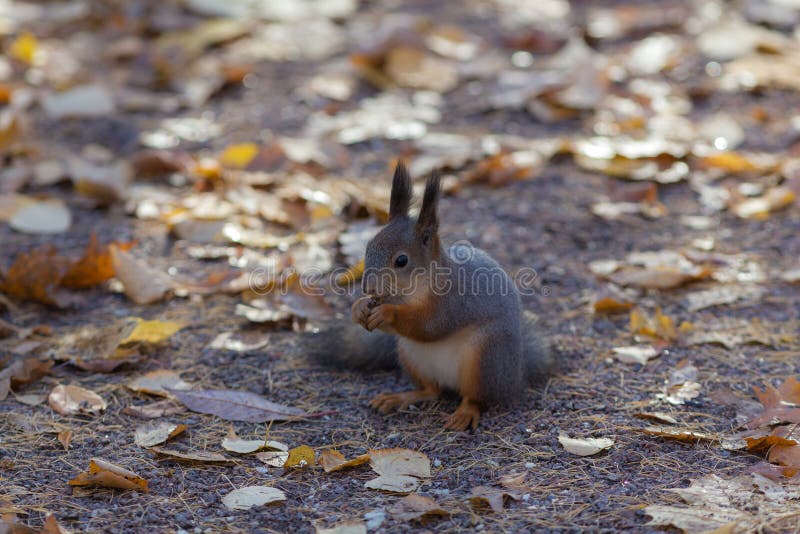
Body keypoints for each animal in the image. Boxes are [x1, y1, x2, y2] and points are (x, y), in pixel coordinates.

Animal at [308, 161, 554, 431]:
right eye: (368, 247)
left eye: (401, 260)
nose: (368, 288)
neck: (412, 291)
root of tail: (516, 375)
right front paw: (359, 307)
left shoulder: (454, 301)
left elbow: (430, 326)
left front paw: (387, 313)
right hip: (411, 355)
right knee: (432, 390)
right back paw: (401, 397)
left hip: (484, 358)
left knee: (477, 397)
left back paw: (465, 413)